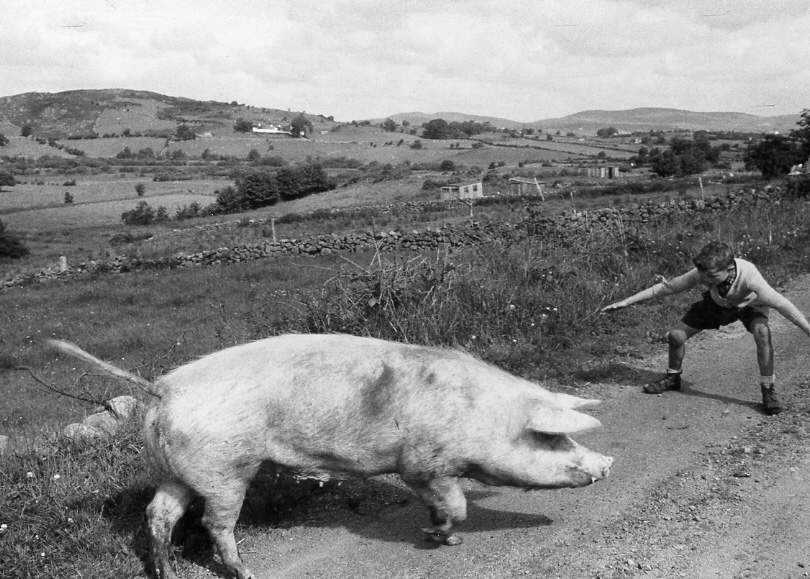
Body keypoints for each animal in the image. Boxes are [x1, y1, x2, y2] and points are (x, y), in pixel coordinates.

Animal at [47, 334, 608, 579]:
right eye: (554, 440)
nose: (608, 464)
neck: (480, 415)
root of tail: (162, 388)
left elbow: (445, 505)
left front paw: (439, 534)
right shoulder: (425, 462)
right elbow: (457, 506)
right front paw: (437, 538)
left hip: (179, 469)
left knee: (159, 513)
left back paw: (165, 573)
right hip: (226, 469)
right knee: (214, 522)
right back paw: (245, 573)